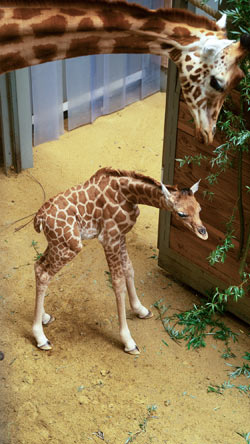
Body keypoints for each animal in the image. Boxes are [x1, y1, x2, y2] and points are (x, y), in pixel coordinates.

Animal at [32, 168, 208, 356]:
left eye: (199, 208)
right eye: (181, 213)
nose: (203, 233)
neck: (128, 195)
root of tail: (39, 219)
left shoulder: (121, 236)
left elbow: (129, 269)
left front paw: (141, 310)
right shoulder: (109, 239)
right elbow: (118, 283)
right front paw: (128, 341)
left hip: (57, 244)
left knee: (38, 266)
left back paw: (44, 317)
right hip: (70, 246)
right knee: (44, 274)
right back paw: (41, 338)